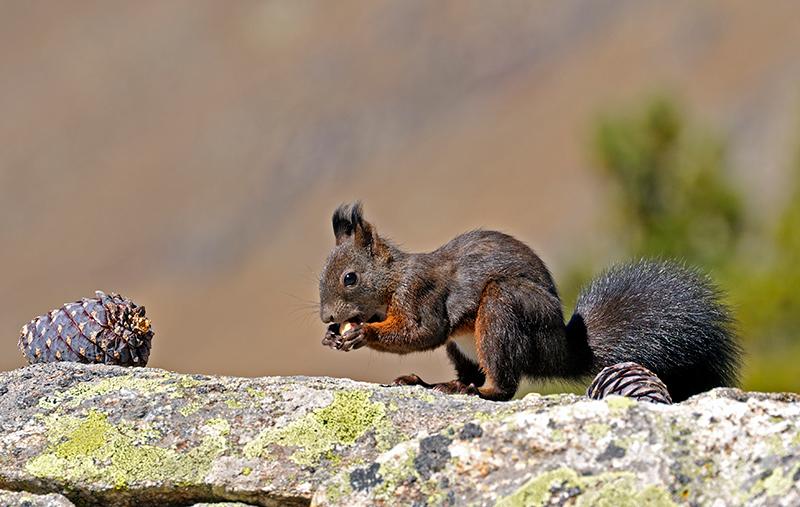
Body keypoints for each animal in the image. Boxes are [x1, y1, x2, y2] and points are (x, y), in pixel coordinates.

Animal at [316, 202, 740, 400]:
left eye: (349, 278)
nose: (326, 317)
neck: (392, 282)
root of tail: (559, 349)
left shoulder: (420, 293)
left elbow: (421, 332)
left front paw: (362, 334)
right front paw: (333, 337)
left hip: (503, 310)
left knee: (502, 385)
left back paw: (474, 391)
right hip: (464, 347)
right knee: (472, 373)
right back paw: (431, 383)